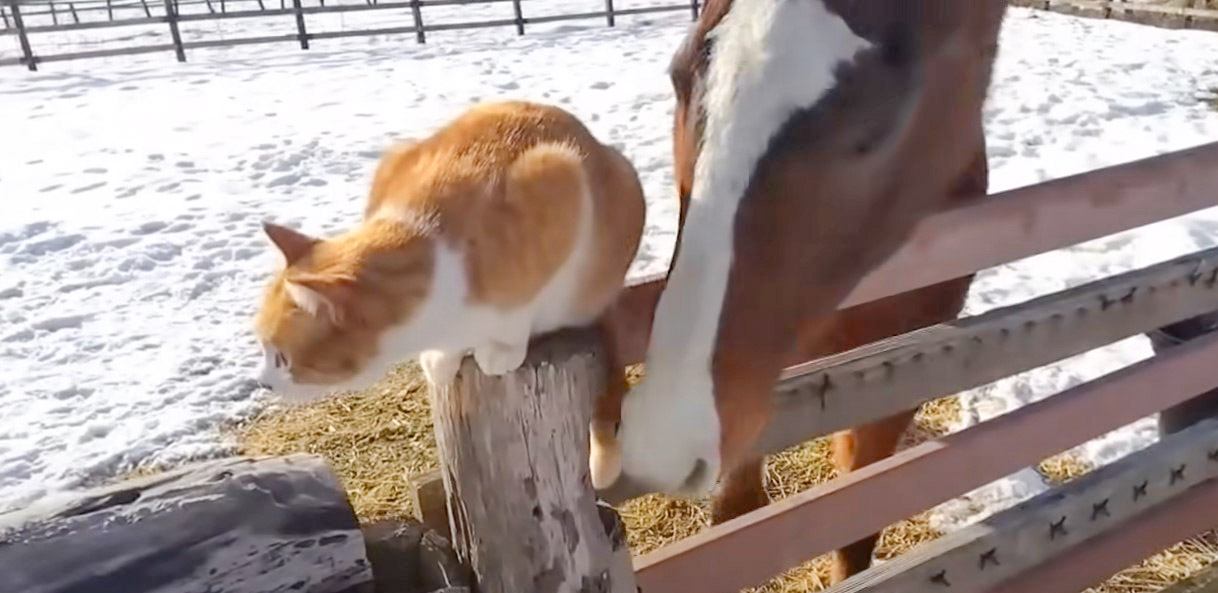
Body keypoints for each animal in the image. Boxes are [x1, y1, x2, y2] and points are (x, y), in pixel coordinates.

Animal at [248, 102, 647, 406]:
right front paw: (442, 357)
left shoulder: (559, 178)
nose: (262, 382)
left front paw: (500, 348)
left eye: (281, 357)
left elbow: (518, 308)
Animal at [599, 0, 1008, 584]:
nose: (662, 436)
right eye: (678, 78)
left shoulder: (906, 373)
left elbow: (857, 522)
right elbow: (738, 513)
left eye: (875, 124)